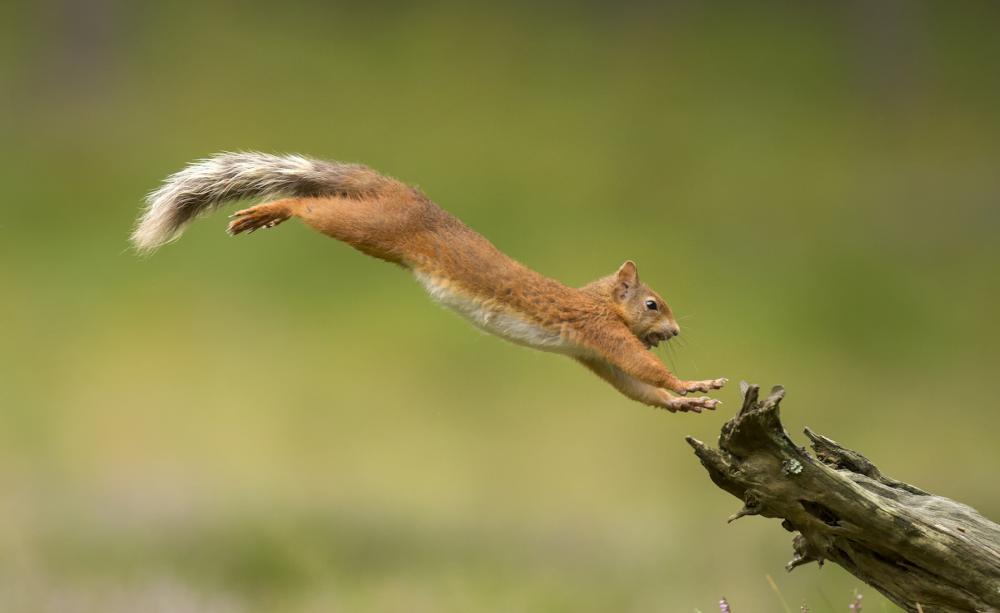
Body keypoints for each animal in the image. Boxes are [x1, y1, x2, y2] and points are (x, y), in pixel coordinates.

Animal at [132, 153, 727, 413]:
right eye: (652, 305)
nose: (675, 332)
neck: (596, 300)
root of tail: (403, 192)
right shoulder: (600, 332)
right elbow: (643, 367)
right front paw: (691, 384)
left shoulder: (590, 353)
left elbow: (632, 385)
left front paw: (680, 403)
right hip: (373, 226)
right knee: (310, 206)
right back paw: (272, 210)